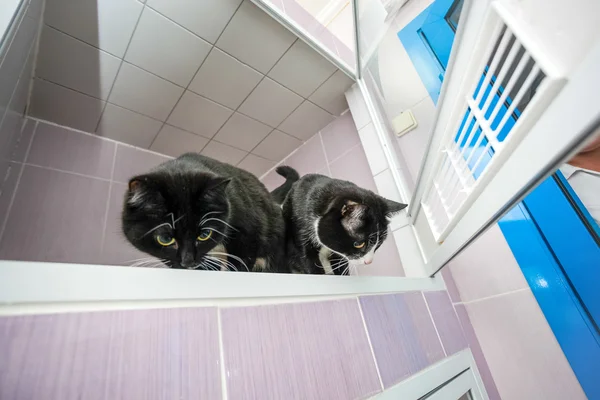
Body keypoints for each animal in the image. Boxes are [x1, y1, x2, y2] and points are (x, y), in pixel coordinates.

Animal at [274, 166, 408, 276]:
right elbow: (308, 261)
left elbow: (340, 263)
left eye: (379, 243)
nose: (369, 261)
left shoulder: (339, 254)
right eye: (359, 244)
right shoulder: (301, 233)